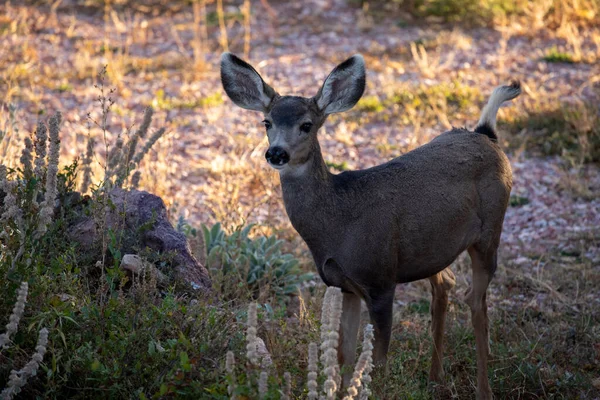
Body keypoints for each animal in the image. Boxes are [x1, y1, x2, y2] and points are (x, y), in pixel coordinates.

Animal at [220, 51, 520, 398]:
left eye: (306, 125)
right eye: (266, 122)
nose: (276, 153)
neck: (338, 221)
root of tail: (486, 133)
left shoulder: (380, 280)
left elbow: (379, 363)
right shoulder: (344, 284)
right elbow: (344, 355)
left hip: (490, 231)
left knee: (477, 302)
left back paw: (483, 389)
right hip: (435, 247)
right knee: (445, 284)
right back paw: (435, 378)